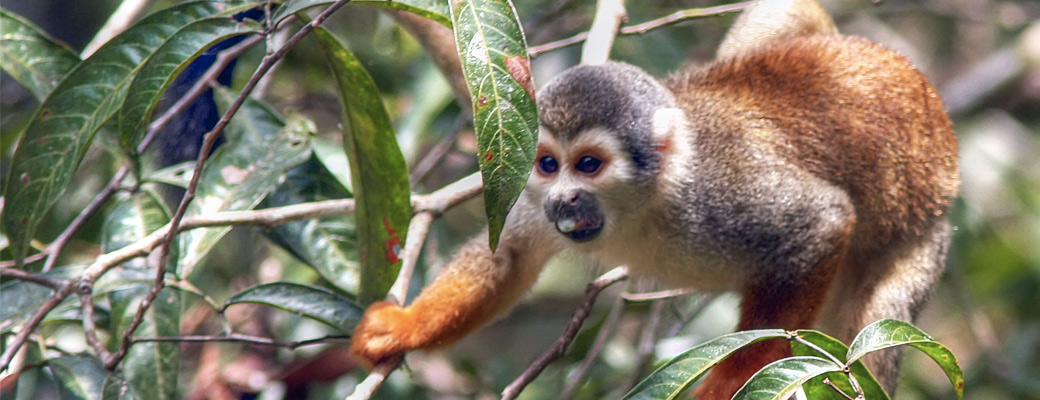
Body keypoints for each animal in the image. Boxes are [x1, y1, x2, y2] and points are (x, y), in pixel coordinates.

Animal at [351, 0, 956, 394]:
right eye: (547, 164)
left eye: (588, 165)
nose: (564, 200)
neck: (646, 207)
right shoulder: (527, 196)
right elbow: (510, 257)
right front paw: (403, 326)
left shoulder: (722, 199)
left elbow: (820, 223)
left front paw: (732, 380)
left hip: (921, 235)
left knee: (872, 327)